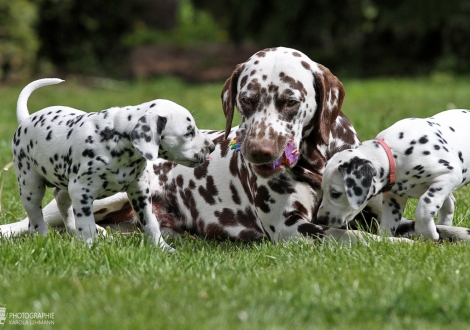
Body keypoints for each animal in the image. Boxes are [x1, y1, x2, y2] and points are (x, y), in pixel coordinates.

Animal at [9, 78, 215, 248]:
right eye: (189, 132)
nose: (212, 147)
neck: (115, 140)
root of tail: (27, 119)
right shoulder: (82, 192)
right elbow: (87, 225)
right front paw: (91, 247)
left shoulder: (139, 191)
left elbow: (150, 222)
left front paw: (162, 247)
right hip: (31, 186)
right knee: (36, 216)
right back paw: (43, 237)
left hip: (65, 184)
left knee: (61, 201)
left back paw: (72, 231)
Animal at [316, 109, 470, 241]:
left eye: (335, 193)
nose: (320, 220)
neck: (394, 155)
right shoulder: (394, 198)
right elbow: (388, 224)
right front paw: (385, 241)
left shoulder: (448, 175)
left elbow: (424, 207)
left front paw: (428, 233)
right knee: (449, 203)